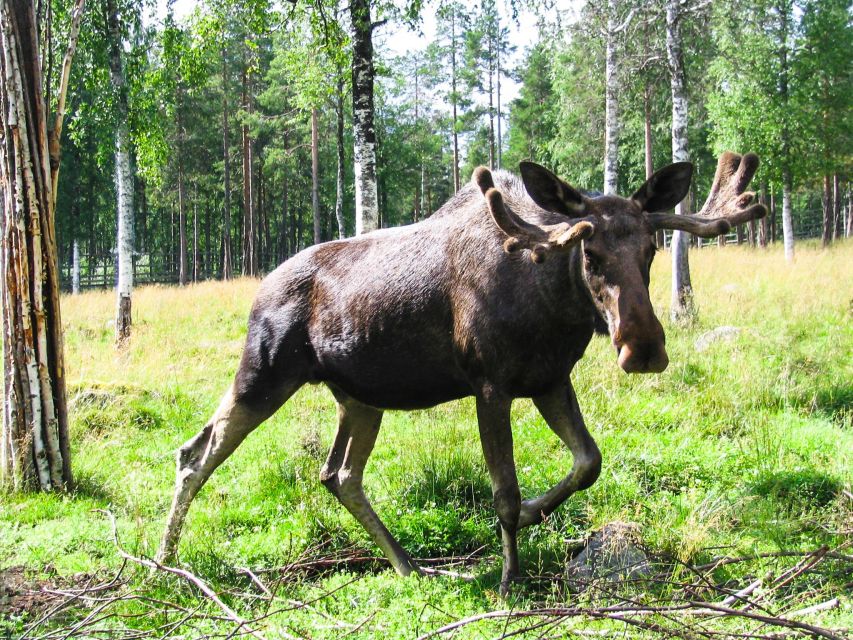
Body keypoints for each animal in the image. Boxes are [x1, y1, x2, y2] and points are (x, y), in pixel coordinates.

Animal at [158, 151, 764, 596]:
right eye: (589, 253)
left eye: (651, 249)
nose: (643, 348)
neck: (553, 306)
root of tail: (259, 285)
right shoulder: (490, 384)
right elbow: (504, 492)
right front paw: (509, 576)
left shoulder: (549, 379)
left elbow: (588, 462)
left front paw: (535, 513)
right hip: (264, 371)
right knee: (196, 452)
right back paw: (165, 562)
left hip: (360, 397)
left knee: (339, 474)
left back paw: (408, 565)